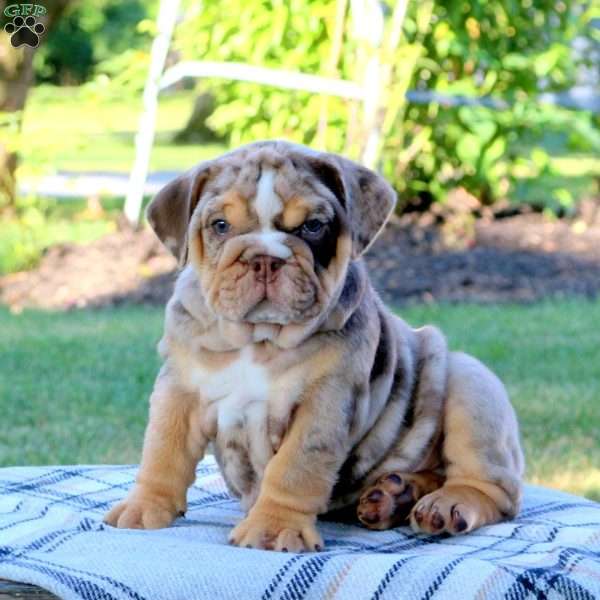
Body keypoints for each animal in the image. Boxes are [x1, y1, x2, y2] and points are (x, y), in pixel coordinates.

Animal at [105, 141, 524, 552]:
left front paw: (274, 528)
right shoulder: (180, 388)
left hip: (471, 383)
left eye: (313, 226)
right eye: (220, 226)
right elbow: (163, 450)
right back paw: (394, 495)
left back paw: (445, 504)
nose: (265, 259)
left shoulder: (324, 402)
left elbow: (294, 468)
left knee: (492, 487)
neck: (258, 339)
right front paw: (145, 505)